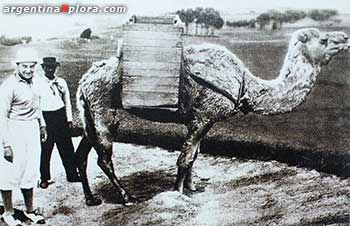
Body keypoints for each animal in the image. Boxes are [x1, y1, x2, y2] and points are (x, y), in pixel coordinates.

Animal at [74, 28, 348, 207]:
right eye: (324, 39)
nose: (345, 38)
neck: (245, 84)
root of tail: (84, 79)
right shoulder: (204, 116)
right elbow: (185, 158)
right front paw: (178, 195)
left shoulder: (204, 120)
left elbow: (194, 155)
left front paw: (192, 187)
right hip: (102, 106)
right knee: (104, 157)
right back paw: (127, 197)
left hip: (90, 111)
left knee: (83, 153)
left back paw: (91, 198)